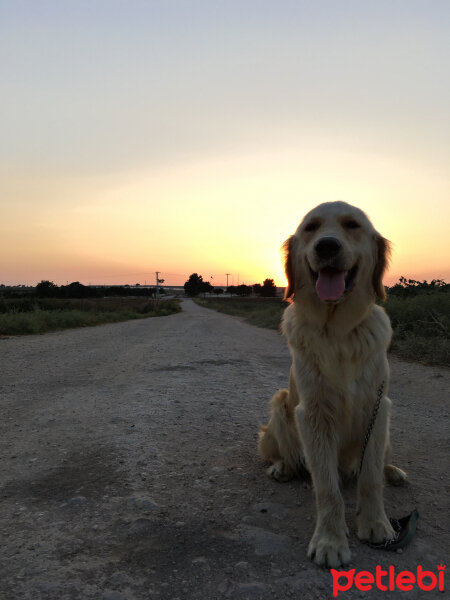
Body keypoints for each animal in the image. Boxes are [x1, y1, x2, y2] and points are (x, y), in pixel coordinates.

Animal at [258, 200, 406, 568]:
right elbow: (327, 489)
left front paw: (376, 524)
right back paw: (282, 467)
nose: (326, 246)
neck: (338, 331)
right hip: (279, 405)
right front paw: (330, 541)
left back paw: (393, 471)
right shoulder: (313, 413)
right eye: (310, 228)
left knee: (381, 464)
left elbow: (370, 478)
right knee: (286, 454)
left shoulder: (376, 407)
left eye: (352, 225)